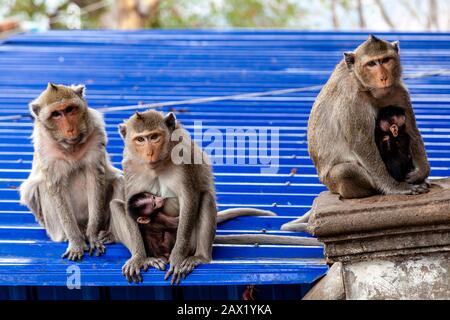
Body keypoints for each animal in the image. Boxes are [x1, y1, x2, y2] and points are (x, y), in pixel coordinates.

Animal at [19, 83, 149, 282]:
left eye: (69, 110)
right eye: (56, 114)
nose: (70, 129)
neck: (70, 147)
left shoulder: (96, 134)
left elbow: (95, 177)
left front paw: (93, 236)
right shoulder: (44, 147)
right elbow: (55, 187)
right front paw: (75, 242)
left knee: (118, 181)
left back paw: (107, 234)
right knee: (42, 188)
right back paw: (73, 235)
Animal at [118, 111, 324, 284]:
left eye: (154, 137)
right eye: (140, 139)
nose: (149, 153)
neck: (158, 165)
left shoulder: (184, 157)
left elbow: (190, 200)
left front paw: (177, 258)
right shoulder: (130, 165)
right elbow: (129, 204)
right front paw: (139, 258)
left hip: (193, 242)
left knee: (206, 199)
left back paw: (199, 257)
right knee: (119, 205)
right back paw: (151, 258)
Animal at [280, 34, 430, 230]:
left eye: (386, 60)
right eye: (371, 64)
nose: (383, 77)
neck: (366, 87)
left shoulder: (399, 92)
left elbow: (412, 131)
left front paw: (421, 173)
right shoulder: (353, 103)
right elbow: (362, 144)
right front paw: (396, 187)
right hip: (333, 182)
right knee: (344, 171)